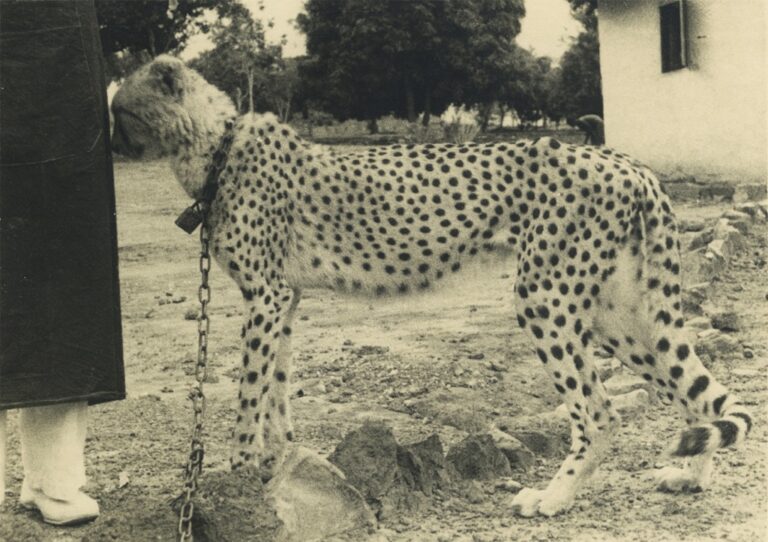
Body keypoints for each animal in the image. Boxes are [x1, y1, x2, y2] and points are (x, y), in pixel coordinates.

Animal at [111, 56, 752, 520]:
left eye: (124, 112)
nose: (113, 144)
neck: (213, 145)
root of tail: (628, 162)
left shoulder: (265, 296)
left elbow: (249, 391)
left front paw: (240, 469)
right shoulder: (283, 298)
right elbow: (277, 387)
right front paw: (279, 458)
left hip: (545, 299)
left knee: (599, 413)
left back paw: (552, 498)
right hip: (617, 313)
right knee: (700, 396)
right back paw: (690, 479)